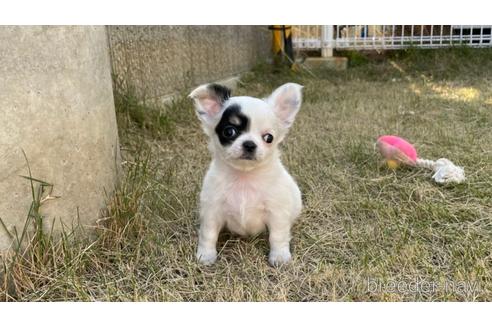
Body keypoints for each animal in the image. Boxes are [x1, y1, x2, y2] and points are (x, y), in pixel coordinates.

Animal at [189, 82, 302, 266]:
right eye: (229, 132)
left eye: (269, 138)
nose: (249, 144)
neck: (244, 177)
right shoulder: (212, 210)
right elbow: (208, 234)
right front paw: (205, 255)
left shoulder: (277, 212)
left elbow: (277, 236)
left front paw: (279, 256)